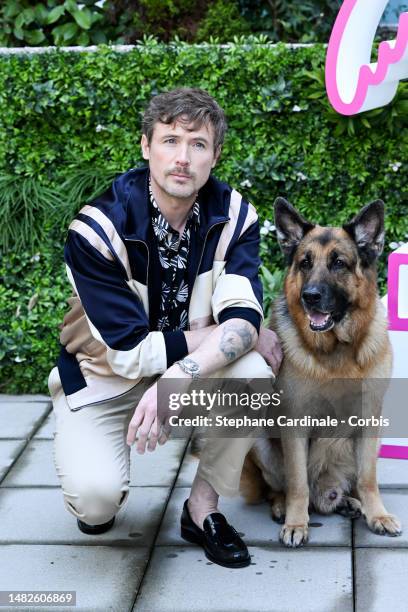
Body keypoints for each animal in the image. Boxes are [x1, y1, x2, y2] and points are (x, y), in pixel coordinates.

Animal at [239, 198, 402, 548]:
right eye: (305, 263)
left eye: (339, 263)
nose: (310, 296)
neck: (336, 352)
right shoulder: (295, 423)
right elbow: (298, 481)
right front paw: (296, 523)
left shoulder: (369, 420)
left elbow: (368, 478)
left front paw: (377, 514)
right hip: (257, 439)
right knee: (283, 488)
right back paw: (283, 506)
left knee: (347, 485)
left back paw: (348, 501)